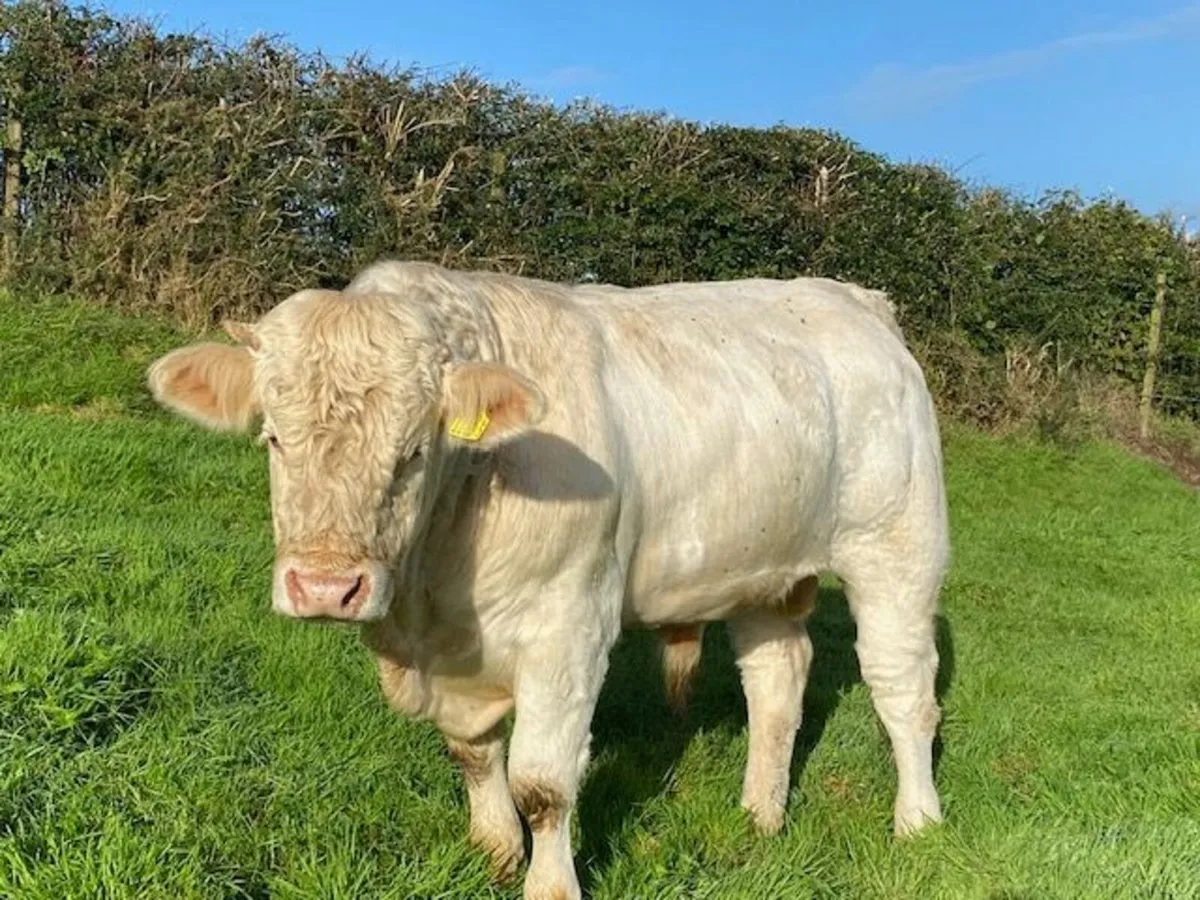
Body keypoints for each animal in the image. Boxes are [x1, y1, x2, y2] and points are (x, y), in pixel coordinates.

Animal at [147, 261, 949, 900]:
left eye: (414, 450)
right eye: (273, 438)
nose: (323, 587)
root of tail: (851, 299)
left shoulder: (569, 626)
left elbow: (543, 782)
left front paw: (548, 884)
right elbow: (473, 751)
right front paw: (494, 853)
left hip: (896, 548)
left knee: (903, 691)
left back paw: (918, 822)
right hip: (761, 571)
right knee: (778, 684)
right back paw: (760, 815)